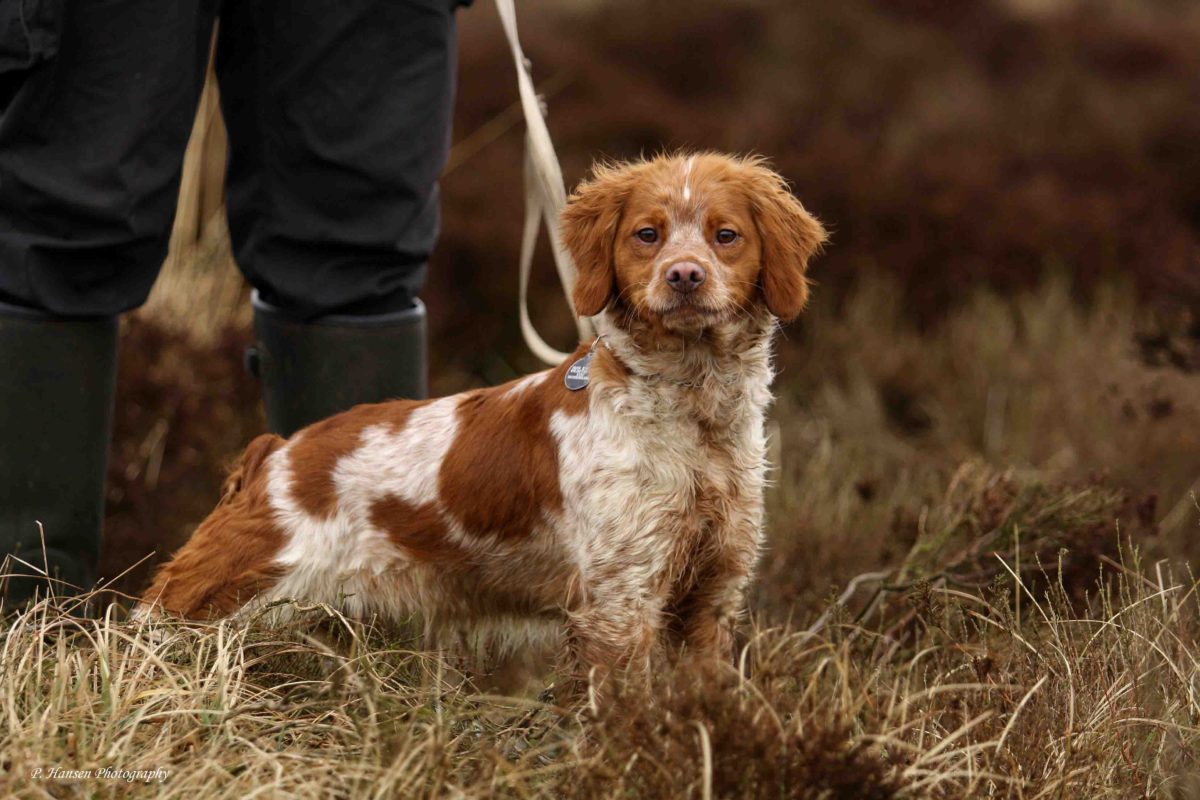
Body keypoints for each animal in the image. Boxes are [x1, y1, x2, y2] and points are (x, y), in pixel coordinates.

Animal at [136, 153, 820, 686]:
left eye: (725, 235)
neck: (693, 416)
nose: (684, 276)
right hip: (211, 601)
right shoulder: (620, 602)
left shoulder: (711, 593)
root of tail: (272, 454)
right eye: (646, 235)